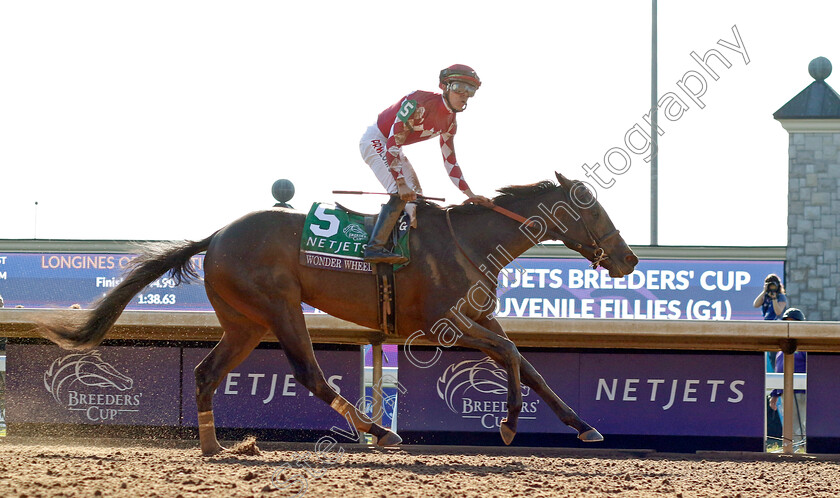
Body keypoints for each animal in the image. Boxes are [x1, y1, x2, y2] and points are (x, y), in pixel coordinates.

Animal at [37, 172, 636, 456]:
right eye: (593, 209)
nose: (628, 258)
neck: (471, 241)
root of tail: (217, 234)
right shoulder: (446, 323)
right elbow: (512, 355)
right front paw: (510, 425)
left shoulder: (481, 318)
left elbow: (530, 367)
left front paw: (585, 426)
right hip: (278, 307)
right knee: (310, 374)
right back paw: (380, 431)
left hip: (246, 323)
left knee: (208, 373)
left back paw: (214, 447)